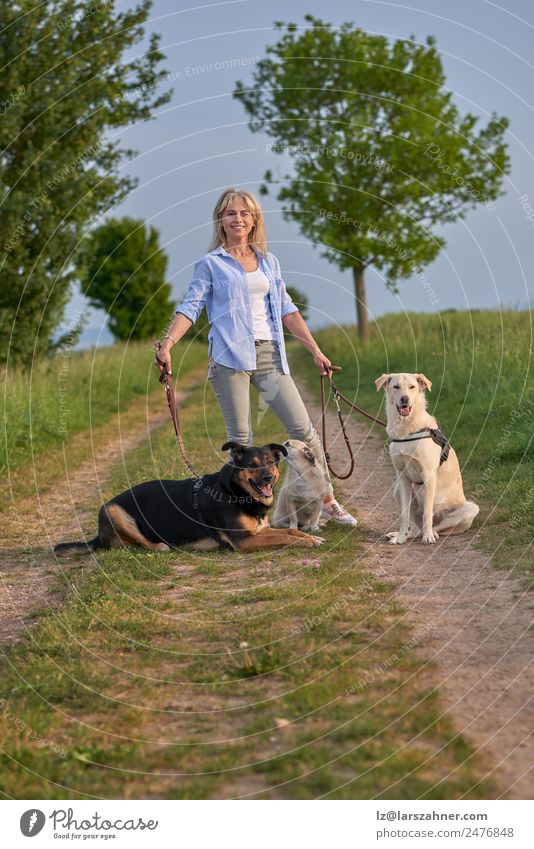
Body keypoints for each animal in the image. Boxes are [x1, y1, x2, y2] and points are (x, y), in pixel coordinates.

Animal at [55, 444, 326, 556]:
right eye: (252, 465)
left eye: (270, 462)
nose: (268, 478)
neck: (235, 492)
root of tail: (97, 537)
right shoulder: (244, 541)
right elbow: (286, 537)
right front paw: (308, 541)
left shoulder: (258, 532)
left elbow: (290, 532)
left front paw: (312, 537)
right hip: (112, 510)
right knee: (137, 544)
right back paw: (160, 547)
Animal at [376, 372, 482, 544]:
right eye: (396, 387)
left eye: (412, 387)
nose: (405, 399)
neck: (407, 429)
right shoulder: (403, 477)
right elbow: (404, 515)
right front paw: (400, 537)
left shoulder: (428, 474)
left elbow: (427, 513)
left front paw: (429, 537)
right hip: (397, 490)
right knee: (416, 528)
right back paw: (402, 535)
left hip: (470, 508)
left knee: (435, 525)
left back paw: (432, 533)